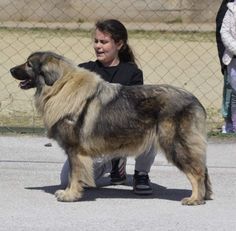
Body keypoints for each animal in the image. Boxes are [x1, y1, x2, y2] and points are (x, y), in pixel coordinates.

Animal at [9, 51, 212, 205]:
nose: (10, 69)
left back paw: (194, 198)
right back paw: (205, 195)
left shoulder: (74, 150)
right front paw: (70, 192)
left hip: (173, 143)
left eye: (29, 64)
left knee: (197, 171)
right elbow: (73, 174)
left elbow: (74, 174)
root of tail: (195, 100)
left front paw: (70, 195)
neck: (60, 86)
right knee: (202, 169)